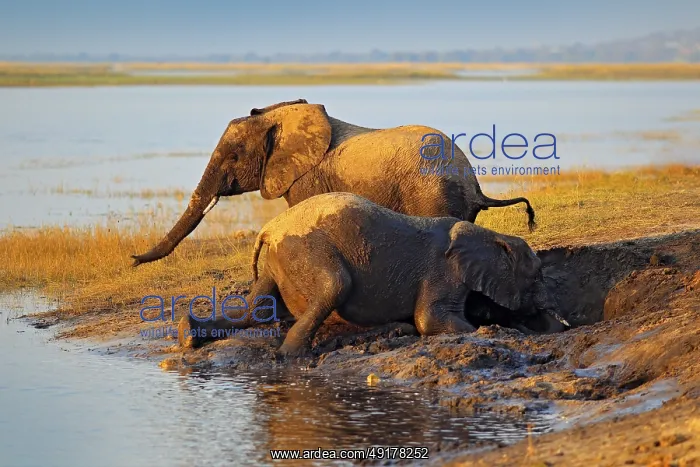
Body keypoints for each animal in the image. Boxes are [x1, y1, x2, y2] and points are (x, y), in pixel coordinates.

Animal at [131, 99, 535, 267]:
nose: (133, 259)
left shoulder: (305, 179)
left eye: (233, 157)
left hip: (433, 194)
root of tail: (475, 184)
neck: (279, 117)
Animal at [178, 192, 566, 357]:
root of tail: (267, 231)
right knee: (334, 286)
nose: (561, 324)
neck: (488, 235)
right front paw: (505, 331)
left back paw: (187, 335)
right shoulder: (444, 271)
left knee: (256, 309)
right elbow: (431, 320)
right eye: (536, 276)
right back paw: (292, 357)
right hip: (305, 249)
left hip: (279, 260)